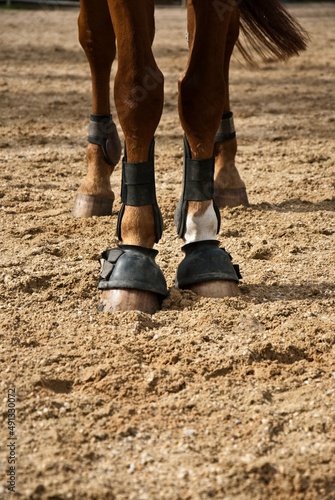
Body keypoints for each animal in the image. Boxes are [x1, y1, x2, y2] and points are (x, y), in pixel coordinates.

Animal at [72, 0, 308, 312]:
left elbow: (202, 91)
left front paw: (202, 236)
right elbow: (135, 89)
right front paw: (136, 242)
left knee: (224, 40)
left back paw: (227, 174)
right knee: (96, 40)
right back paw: (95, 180)